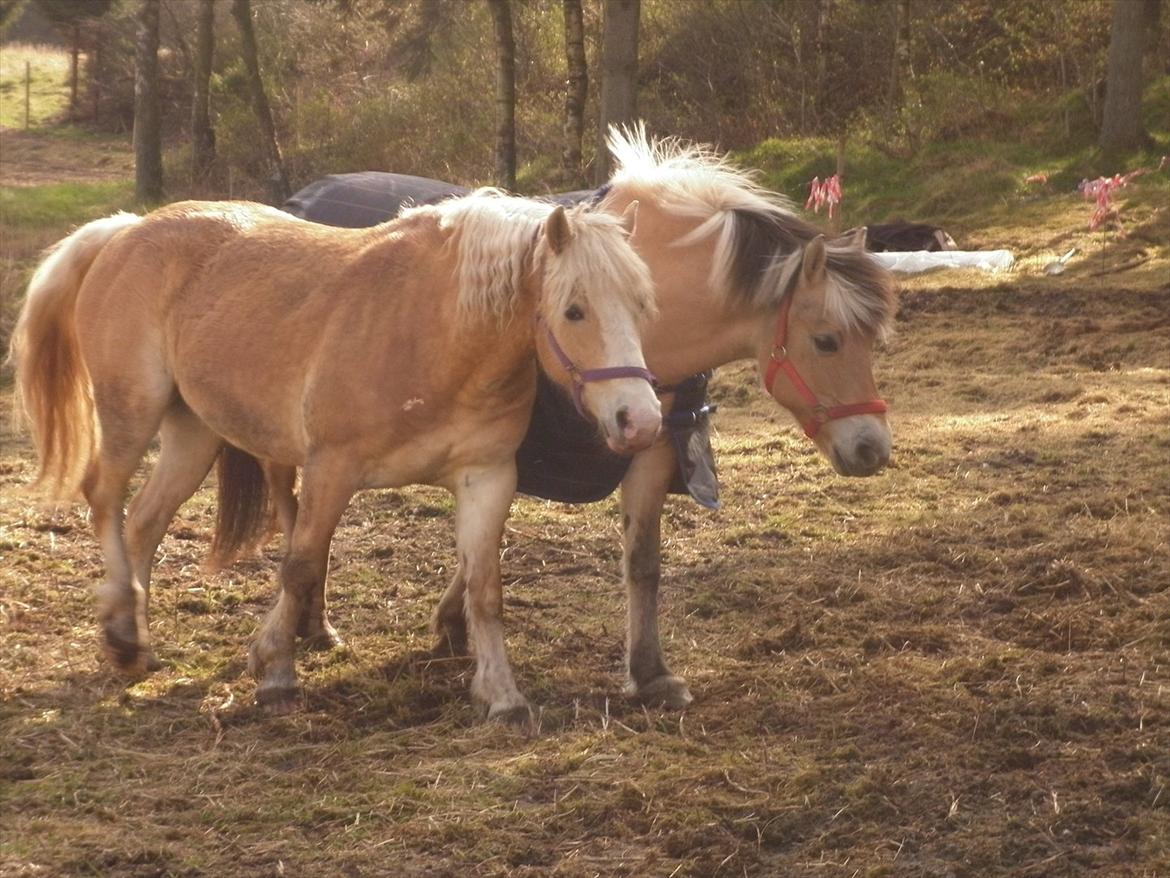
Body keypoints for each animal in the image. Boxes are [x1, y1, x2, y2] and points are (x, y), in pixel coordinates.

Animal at [11, 191, 659, 721]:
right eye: (574, 310)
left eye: (641, 306)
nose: (641, 420)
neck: (432, 335)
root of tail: (127, 230)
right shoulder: (331, 469)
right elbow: (299, 566)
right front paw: (276, 671)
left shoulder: (488, 478)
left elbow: (484, 587)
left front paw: (502, 695)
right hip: (132, 413)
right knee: (105, 499)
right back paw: (122, 634)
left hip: (193, 434)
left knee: (145, 522)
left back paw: (136, 644)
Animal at [225, 125, 893, 716]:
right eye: (827, 340)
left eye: (874, 340)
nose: (872, 449)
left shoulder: (644, 452)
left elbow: (638, 564)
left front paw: (649, 673)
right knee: (297, 519)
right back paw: (309, 627)